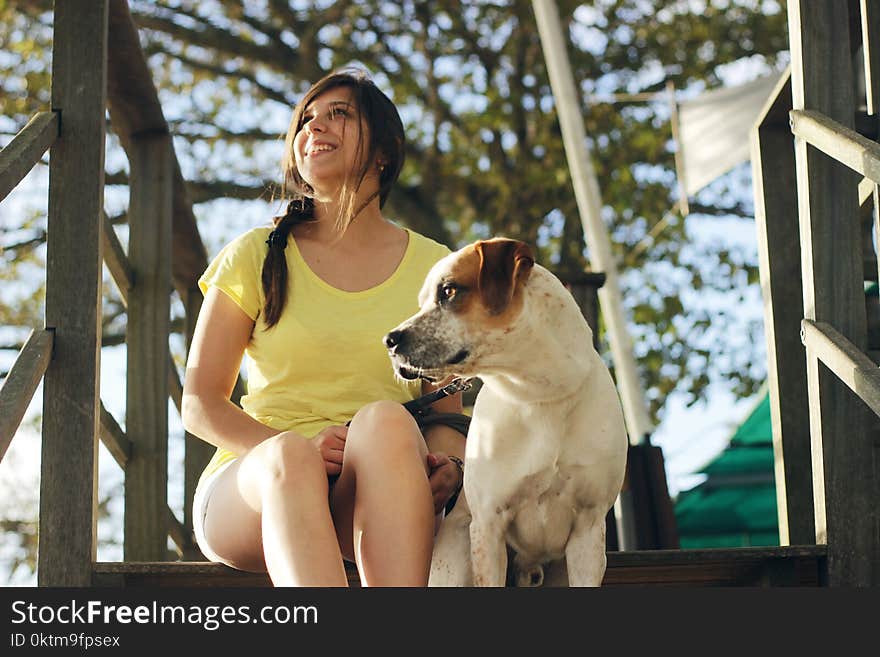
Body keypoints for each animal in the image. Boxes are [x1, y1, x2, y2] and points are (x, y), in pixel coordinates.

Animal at [384, 238, 624, 588]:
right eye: (422, 301)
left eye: (449, 290)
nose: (389, 340)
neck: (538, 395)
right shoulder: (488, 526)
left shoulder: (589, 529)